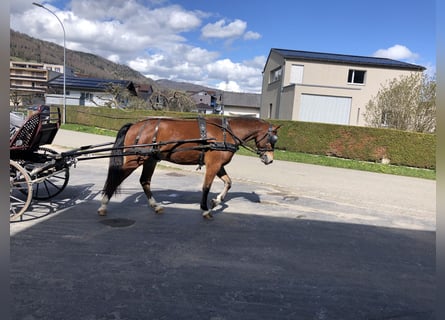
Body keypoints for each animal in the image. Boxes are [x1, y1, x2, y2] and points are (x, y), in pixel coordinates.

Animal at [97, 116, 280, 219]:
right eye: (273, 139)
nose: (270, 159)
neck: (226, 133)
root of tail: (135, 125)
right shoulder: (213, 165)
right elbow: (206, 187)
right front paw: (205, 209)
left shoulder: (218, 165)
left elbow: (228, 183)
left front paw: (217, 200)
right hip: (135, 160)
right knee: (115, 178)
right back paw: (103, 205)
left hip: (150, 159)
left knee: (145, 181)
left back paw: (155, 206)